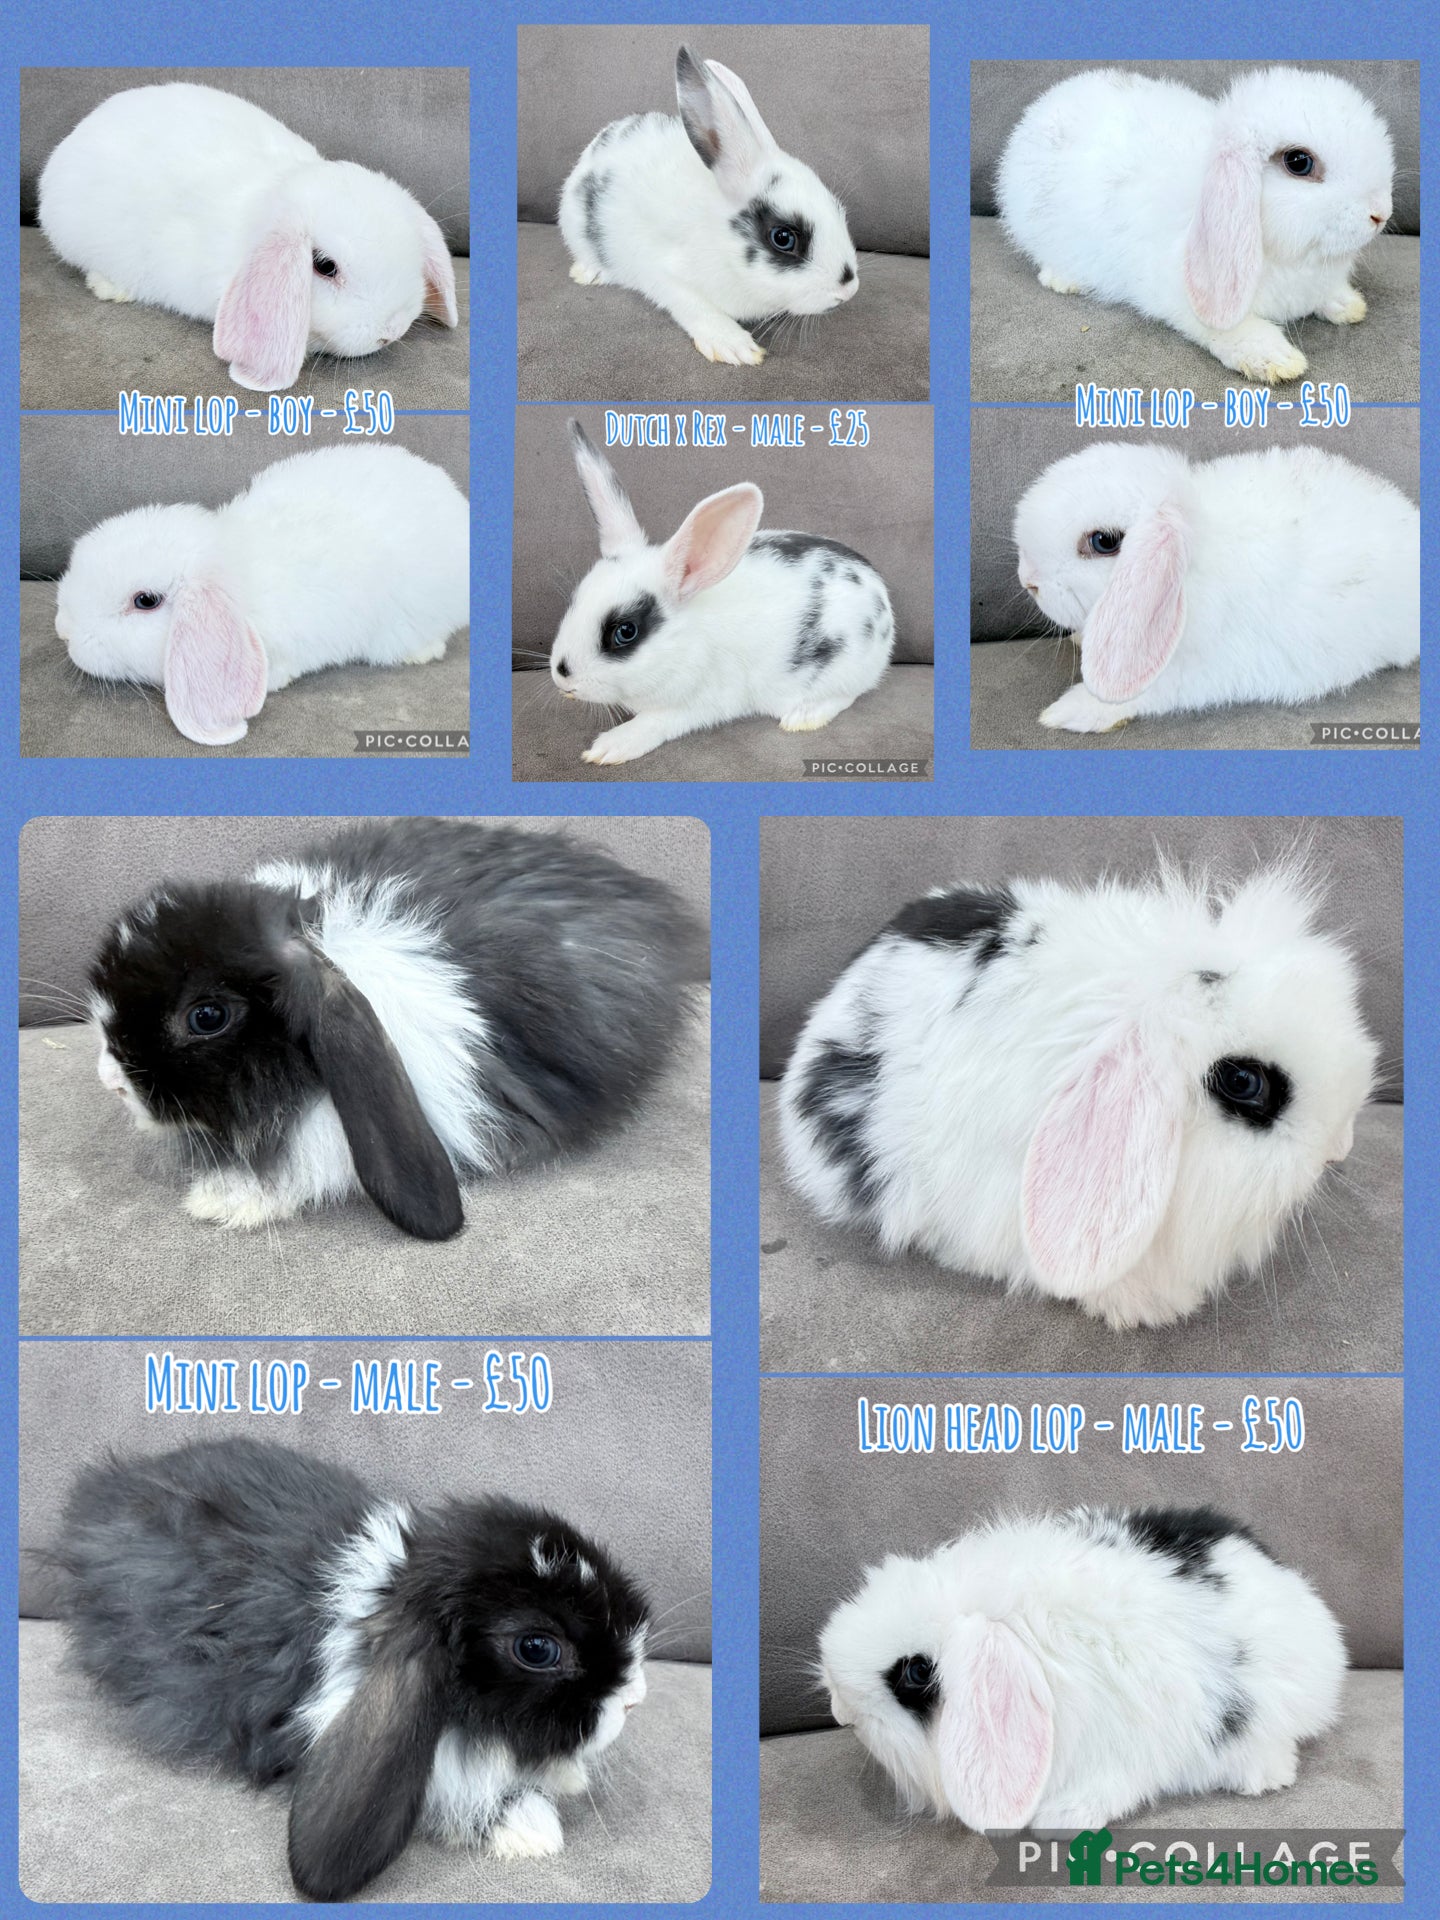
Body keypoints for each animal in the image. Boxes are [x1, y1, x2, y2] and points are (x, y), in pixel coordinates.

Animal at [551, 423, 893, 763]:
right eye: (575, 599)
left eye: (625, 631)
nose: (561, 677)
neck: (688, 640)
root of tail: (880, 593)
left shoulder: (697, 704)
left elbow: (653, 722)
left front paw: (608, 747)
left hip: (843, 671)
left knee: (847, 695)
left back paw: (803, 717)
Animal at [558, 46, 859, 366]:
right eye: (783, 237)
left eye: (837, 208)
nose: (848, 290)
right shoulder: (663, 274)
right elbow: (697, 308)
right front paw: (734, 346)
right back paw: (586, 273)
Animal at [995, 67, 1395, 384]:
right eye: (1299, 162)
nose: (1381, 213)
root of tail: (1045, 104)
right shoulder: (1178, 292)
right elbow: (1224, 328)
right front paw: (1273, 359)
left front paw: (1347, 304)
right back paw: (1063, 280)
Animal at [1011, 440, 1419, 734]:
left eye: (1104, 542)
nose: (1028, 581)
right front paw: (1080, 639)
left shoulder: (1203, 669)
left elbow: (1146, 691)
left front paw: (1069, 712)